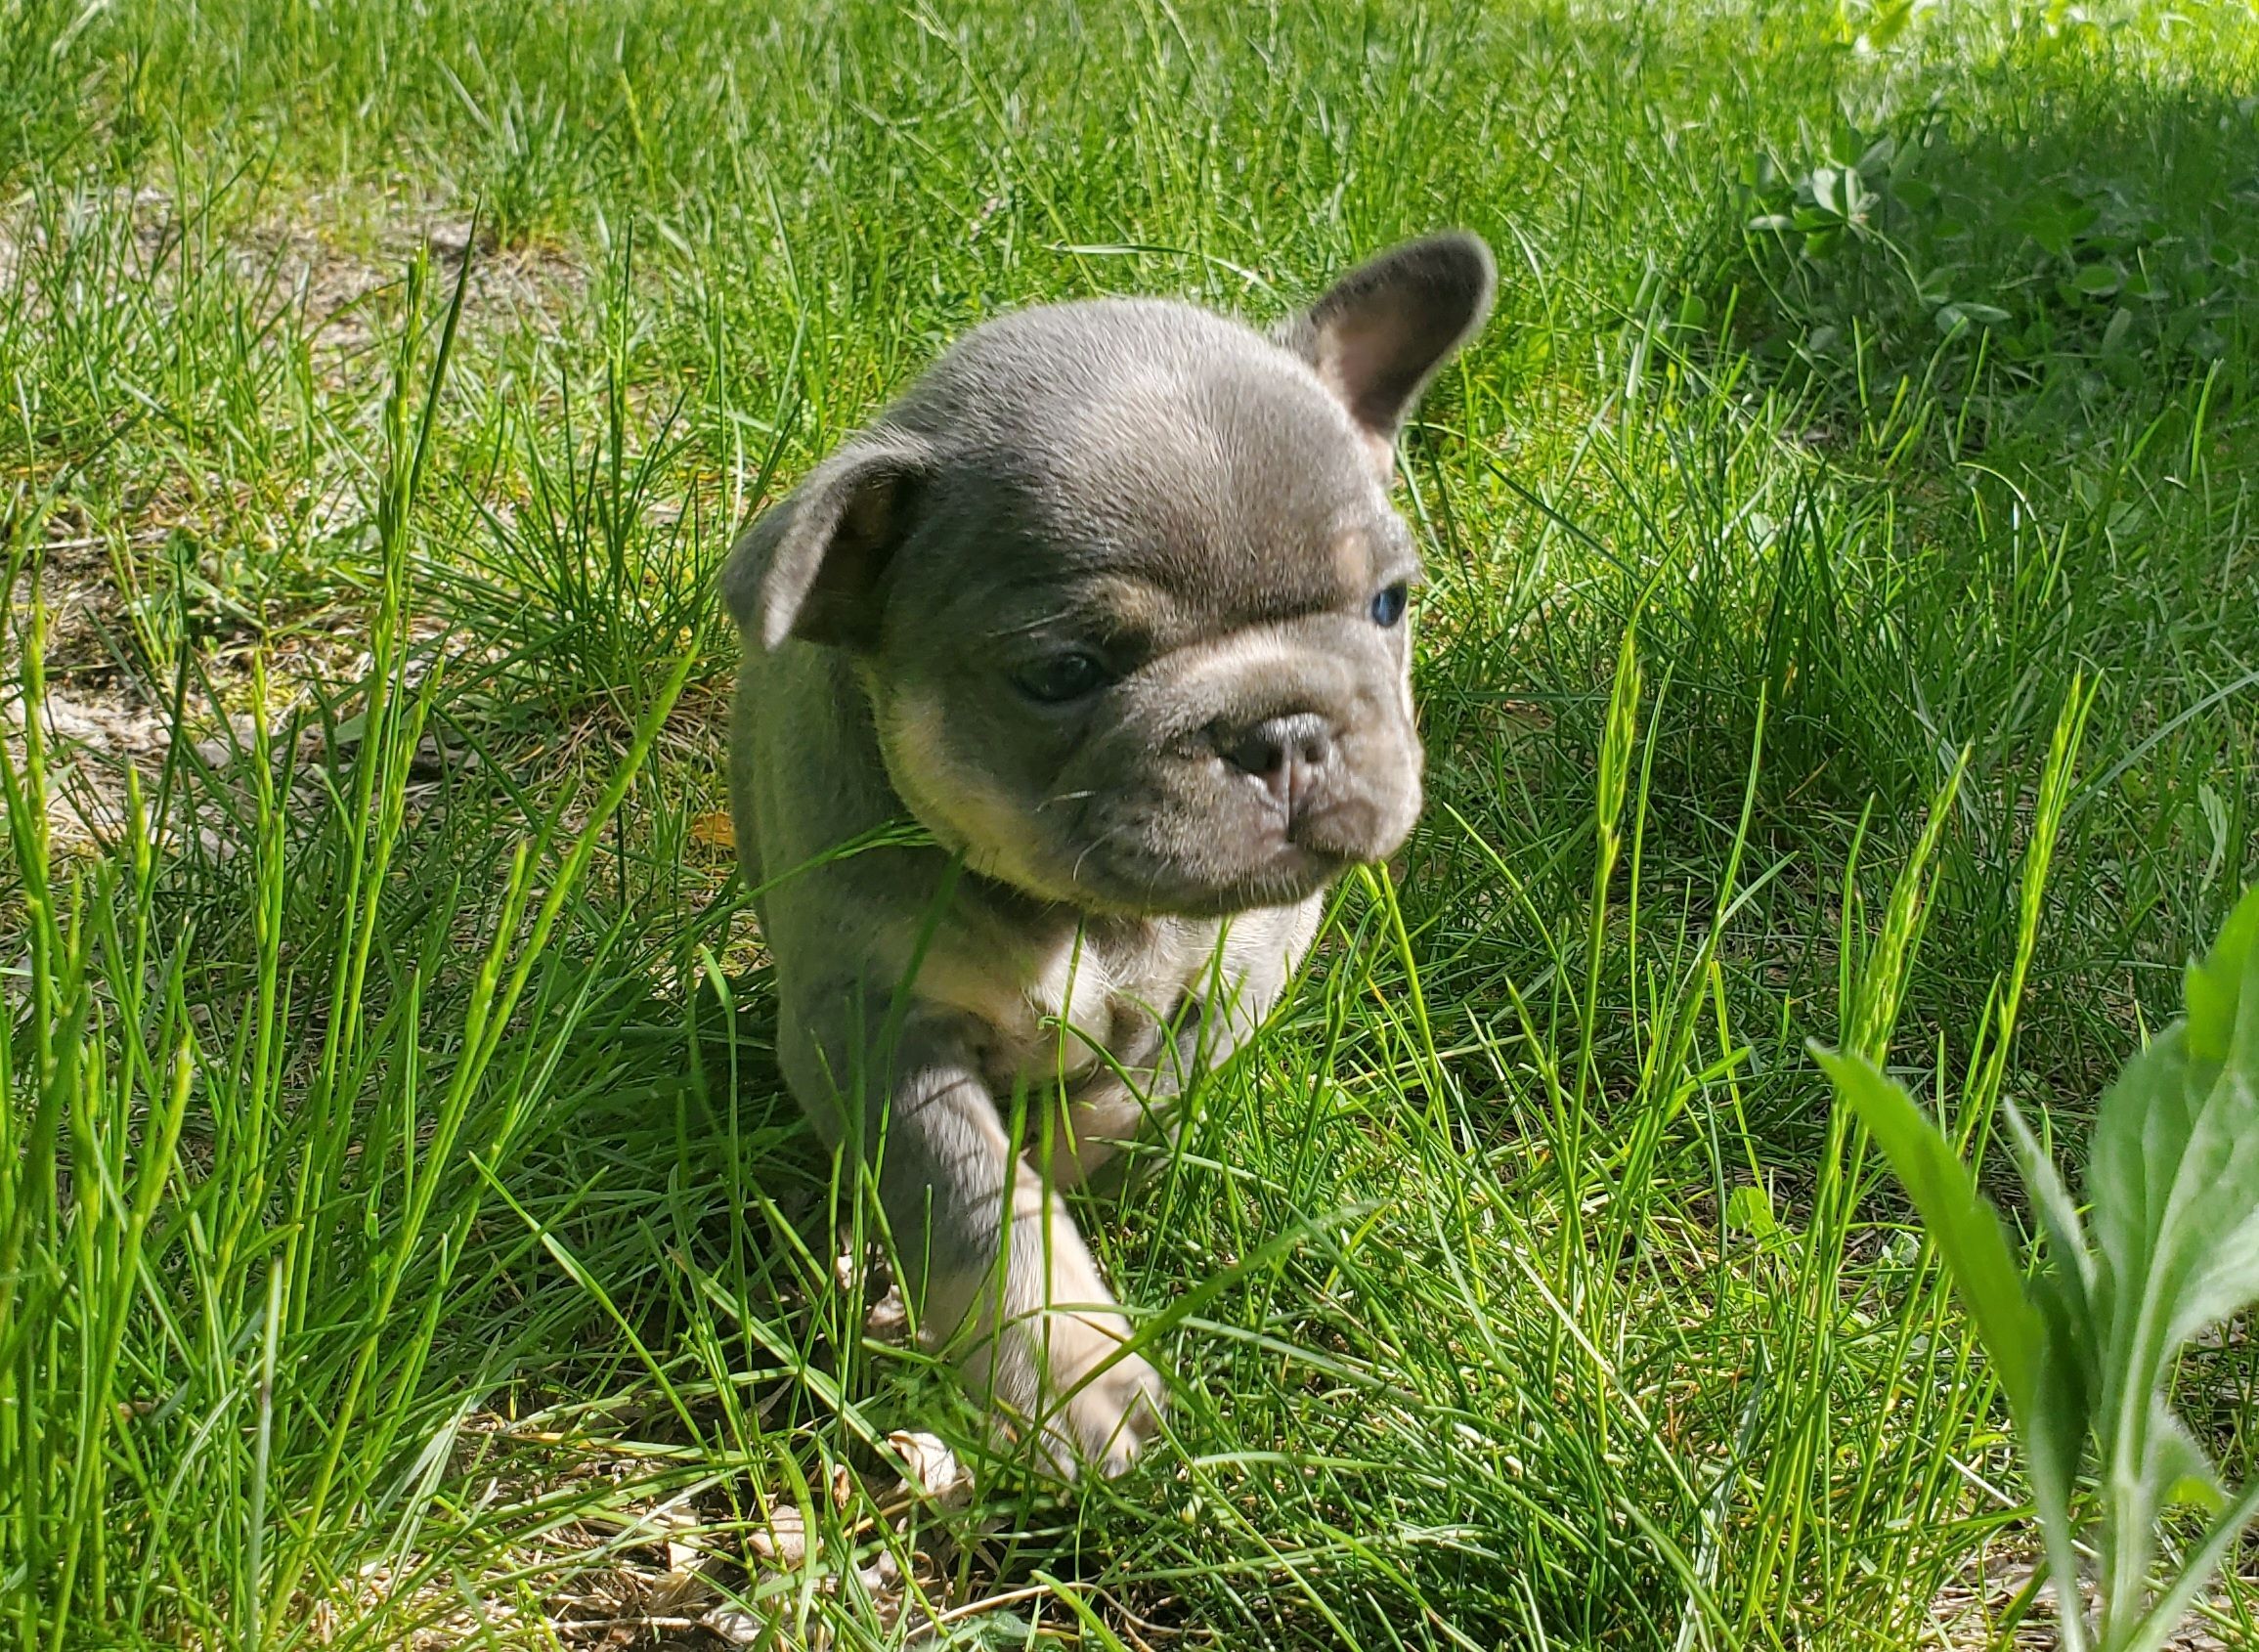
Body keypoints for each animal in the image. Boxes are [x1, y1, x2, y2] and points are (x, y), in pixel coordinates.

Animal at [727, 229, 1499, 1473]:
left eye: (1389, 604)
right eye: (1061, 674)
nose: (1284, 730)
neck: (1085, 916)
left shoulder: (1244, 975)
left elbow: (1136, 1098)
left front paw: (1069, 1154)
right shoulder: (869, 1030)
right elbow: (974, 1199)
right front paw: (1064, 1368)